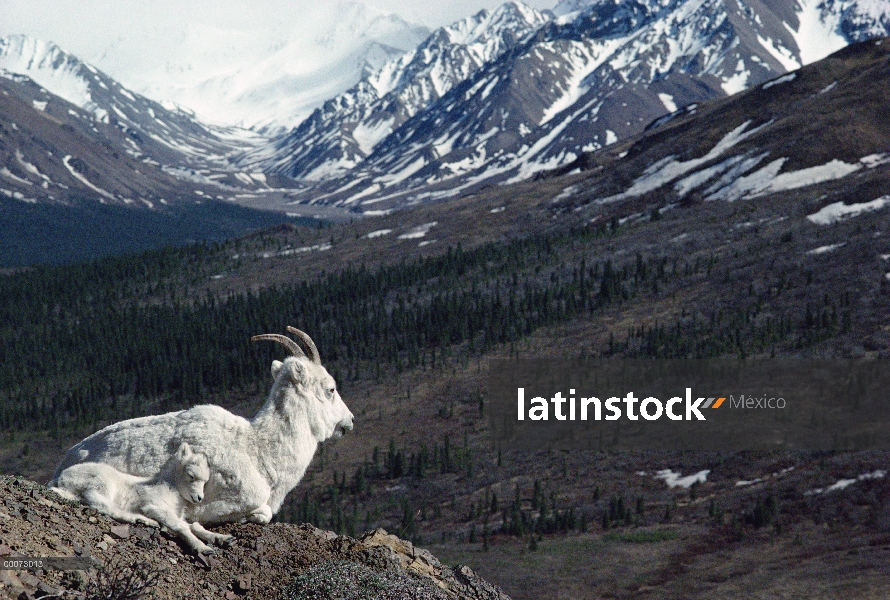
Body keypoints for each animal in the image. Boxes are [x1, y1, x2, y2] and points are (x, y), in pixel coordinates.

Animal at [49, 440, 232, 552]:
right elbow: (182, 527)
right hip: (103, 483)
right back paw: (142, 519)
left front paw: (224, 539)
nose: (199, 498)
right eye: (191, 476)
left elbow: (193, 526)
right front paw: (204, 549)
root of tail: (61, 478)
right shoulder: (155, 507)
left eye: (205, 481)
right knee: (101, 503)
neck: (168, 487)